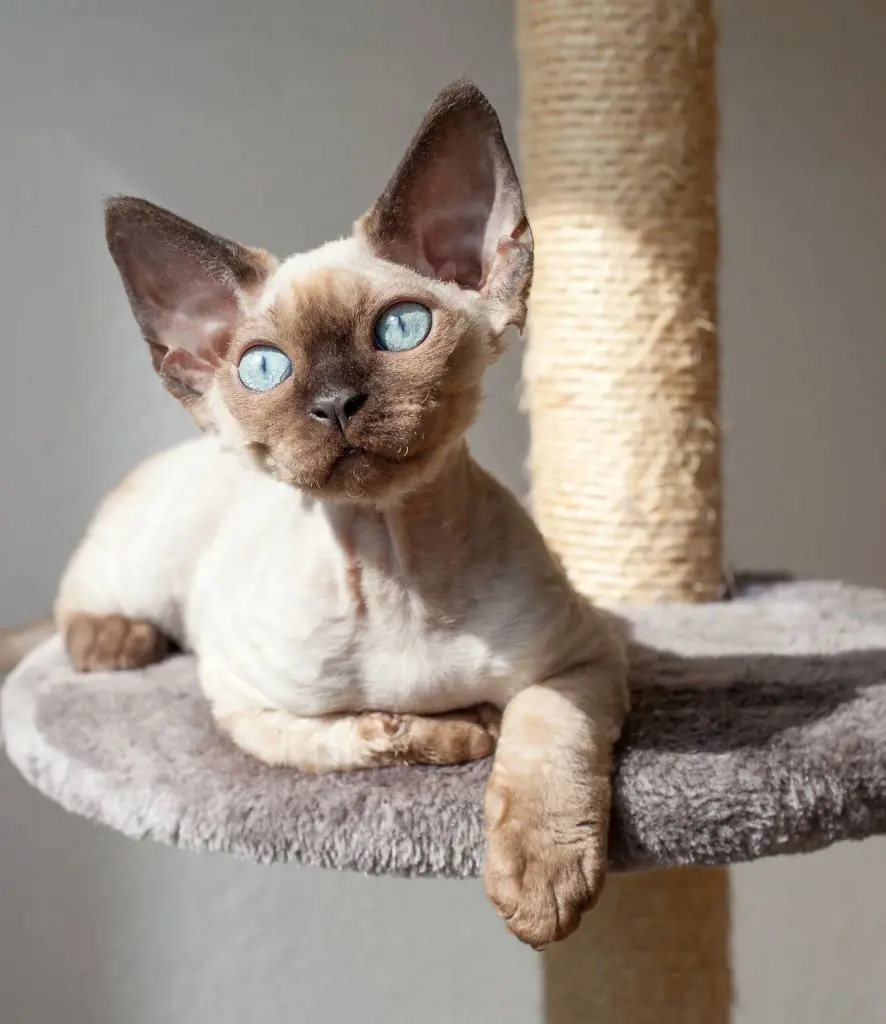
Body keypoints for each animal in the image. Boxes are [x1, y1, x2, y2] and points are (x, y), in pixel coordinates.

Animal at [5, 81, 630, 950]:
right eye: (265, 368)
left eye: (402, 328)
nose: (336, 402)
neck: (395, 569)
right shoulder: (241, 699)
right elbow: (356, 735)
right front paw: (459, 730)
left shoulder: (583, 660)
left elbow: (547, 743)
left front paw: (541, 882)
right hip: (142, 565)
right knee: (77, 603)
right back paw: (114, 641)